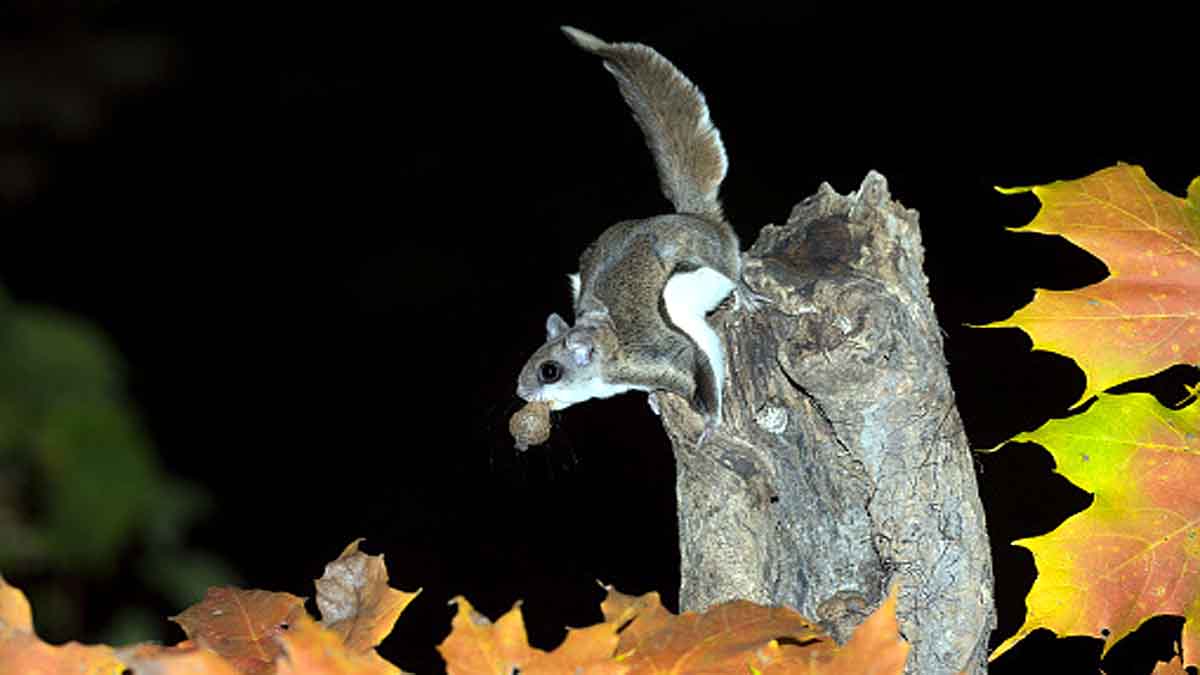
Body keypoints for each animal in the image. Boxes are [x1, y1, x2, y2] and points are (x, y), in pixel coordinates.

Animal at [515, 26, 760, 447]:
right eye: (532, 359)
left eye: (549, 371)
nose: (520, 392)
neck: (608, 344)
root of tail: (696, 217)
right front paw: (657, 402)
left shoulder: (668, 354)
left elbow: (704, 378)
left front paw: (711, 423)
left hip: (707, 256)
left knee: (732, 268)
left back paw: (745, 295)